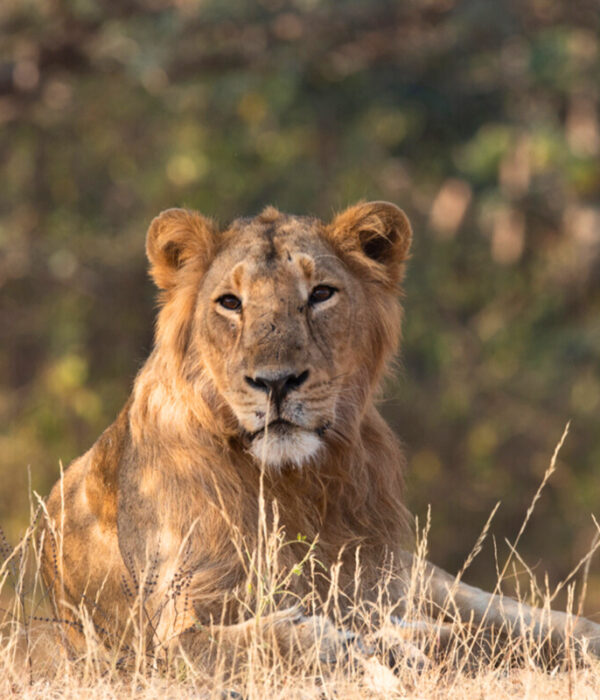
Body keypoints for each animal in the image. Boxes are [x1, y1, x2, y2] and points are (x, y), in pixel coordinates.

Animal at [41, 201, 600, 668]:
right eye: (230, 303)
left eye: (321, 294)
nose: (276, 382)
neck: (296, 484)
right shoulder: (163, 633)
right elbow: (235, 642)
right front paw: (342, 642)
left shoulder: (378, 582)